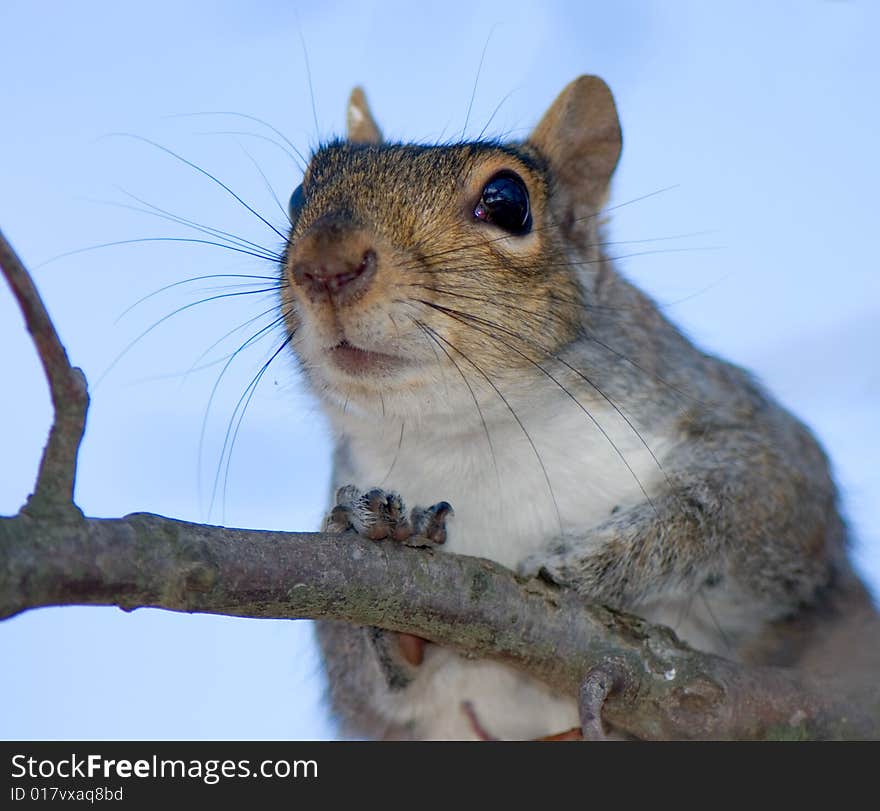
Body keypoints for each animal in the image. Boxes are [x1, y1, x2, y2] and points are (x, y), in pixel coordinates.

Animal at [278, 77, 876, 744]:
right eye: (298, 195)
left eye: (507, 201)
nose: (325, 265)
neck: (473, 435)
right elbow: (365, 688)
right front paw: (371, 538)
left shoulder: (750, 438)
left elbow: (738, 509)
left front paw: (593, 560)